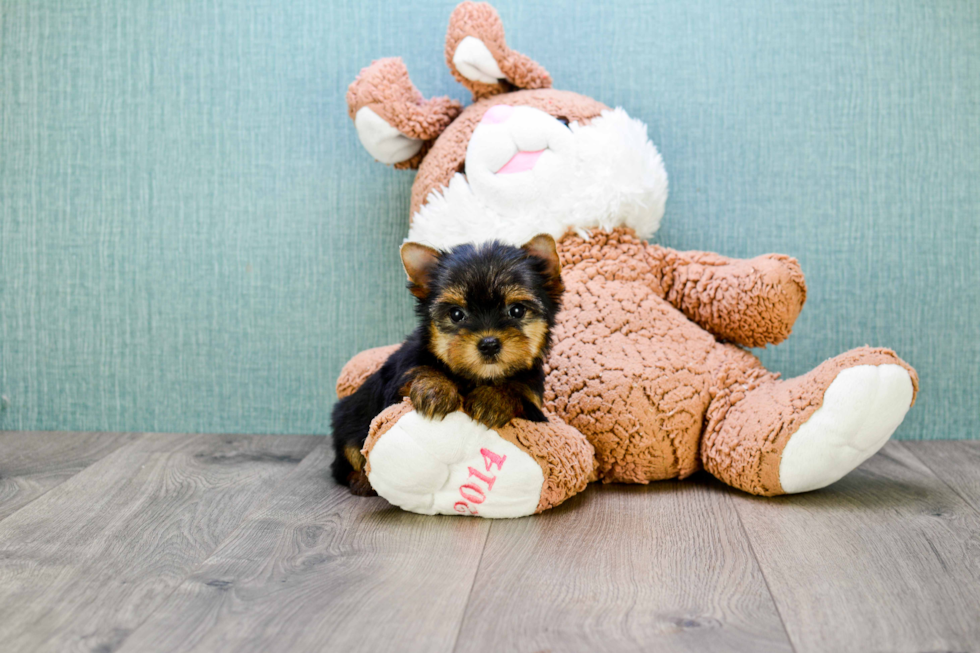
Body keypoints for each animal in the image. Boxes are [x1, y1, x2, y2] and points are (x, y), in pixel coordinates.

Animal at [330, 234, 564, 494]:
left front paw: (492, 399)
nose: (489, 344)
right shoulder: (404, 372)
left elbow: (517, 389)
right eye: (456, 314)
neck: (476, 377)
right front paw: (436, 390)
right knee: (346, 459)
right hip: (348, 421)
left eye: (517, 310)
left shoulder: (533, 401)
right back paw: (361, 481)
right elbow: (422, 370)